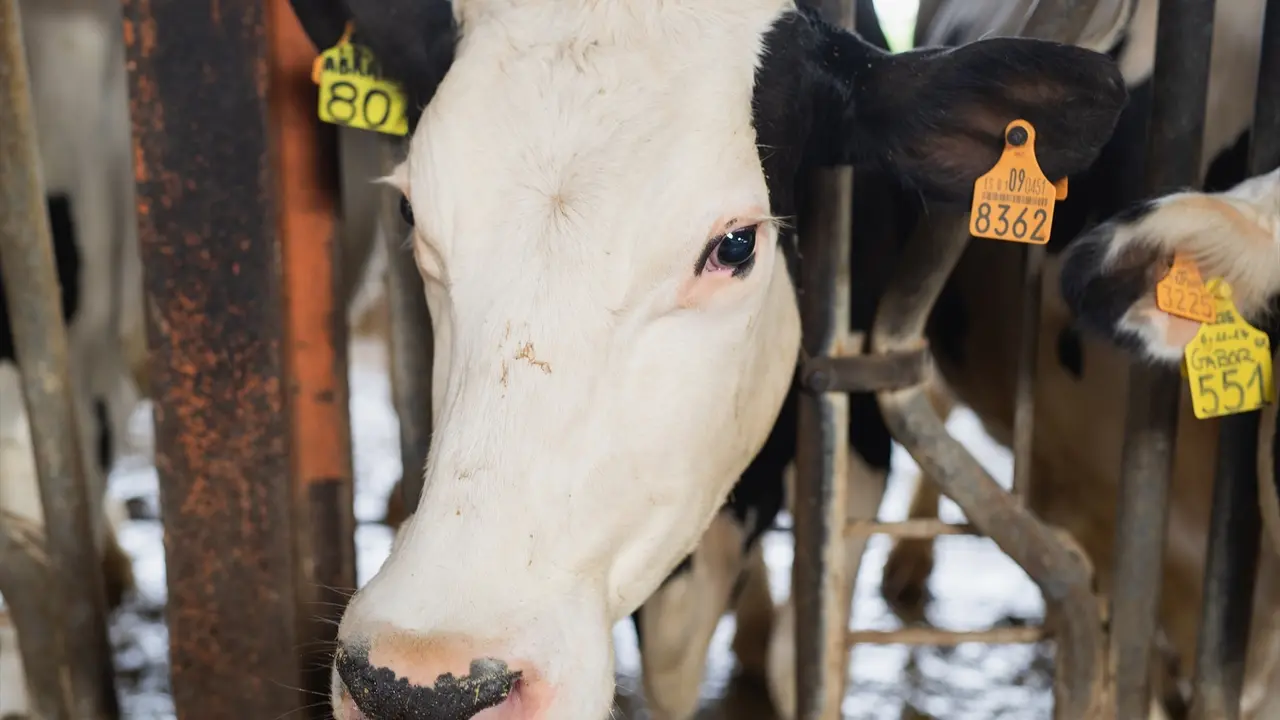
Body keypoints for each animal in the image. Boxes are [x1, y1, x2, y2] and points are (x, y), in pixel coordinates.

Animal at [280, 1, 1130, 718]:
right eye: (409, 212)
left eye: (735, 245)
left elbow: (806, 654)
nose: (419, 683)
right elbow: (675, 658)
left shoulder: (858, 434)